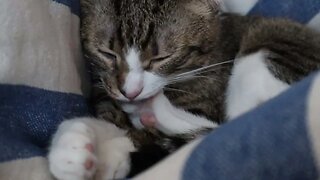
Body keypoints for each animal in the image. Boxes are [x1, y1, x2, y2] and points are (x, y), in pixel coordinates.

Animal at [47, 0, 320, 179]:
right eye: (107, 53)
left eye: (161, 58)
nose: (131, 92)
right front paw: (73, 149)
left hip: (268, 49)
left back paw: (152, 109)